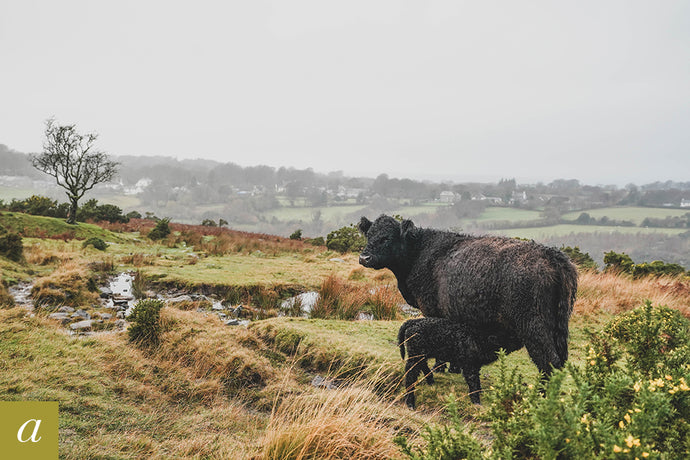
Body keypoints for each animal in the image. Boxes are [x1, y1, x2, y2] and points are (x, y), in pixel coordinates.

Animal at [358, 216, 576, 378]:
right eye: (369, 235)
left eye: (386, 238)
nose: (364, 257)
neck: (418, 254)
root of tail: (553, 256)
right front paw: (455, 368)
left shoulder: (432, 310)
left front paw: (440, 368)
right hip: (557, 325)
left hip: (533, 324)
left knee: (549, 362)